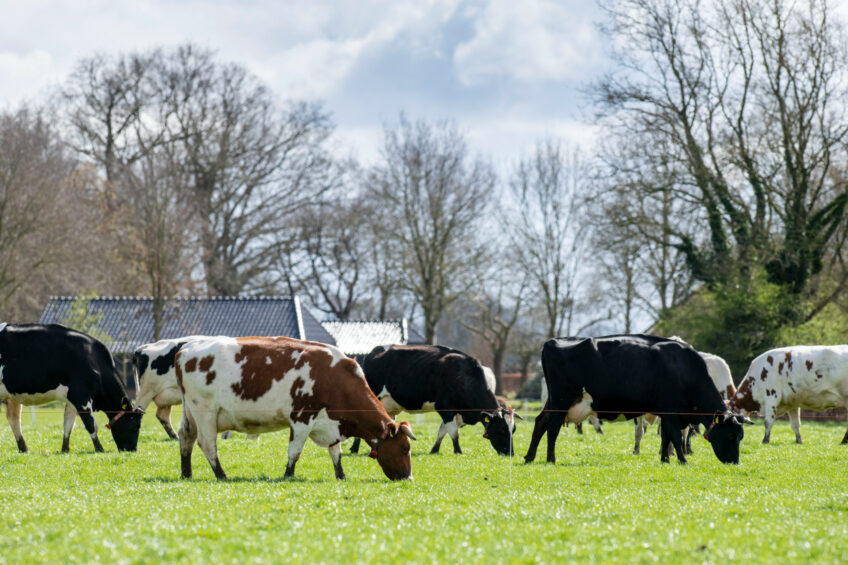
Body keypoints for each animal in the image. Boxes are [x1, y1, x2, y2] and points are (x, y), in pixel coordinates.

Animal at [0, 324, 143, 452]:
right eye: (135, 426)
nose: (132, 450)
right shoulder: (81, 396)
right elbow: (91, 424)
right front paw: (99, 449)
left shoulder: (72, 399)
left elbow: (68, 424)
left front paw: (65, 449)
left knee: (13, 419)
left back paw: (24, 449)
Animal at [175, 332, 414, 482]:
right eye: (404, 448)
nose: (409, 478)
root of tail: (186, 348)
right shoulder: (302, 418)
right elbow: (295, 451)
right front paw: (288, 475)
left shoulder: (331, 423)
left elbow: (335, 452)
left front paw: (341, 476)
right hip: (205, 411)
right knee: (207, 444)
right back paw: (221, 475)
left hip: (190, 413)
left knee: (185, 437)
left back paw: (186, 474)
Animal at [348, 342, 512, 456]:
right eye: (502, 429)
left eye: (513, 430)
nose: (511, 453)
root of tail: (372, 352)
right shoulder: (445, 408)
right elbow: (454, 433)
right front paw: (458, 451)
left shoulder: (455, 412)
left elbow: (442, 432)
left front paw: (434, 450)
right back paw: (355, 448)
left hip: (390, 406)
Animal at [528, 334, 752, 462]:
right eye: (730, 436)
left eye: (740, 437)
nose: (734, 462)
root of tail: (553, 341)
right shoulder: (669, 409)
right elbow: (674, 435)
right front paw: (682, 460)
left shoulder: (668, 412)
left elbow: (666, 436)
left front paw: (665, 460)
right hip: (561, 400)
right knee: (552, 428)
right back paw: (550, 459)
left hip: (555, 401)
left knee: (540, 423)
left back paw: (529, 457)